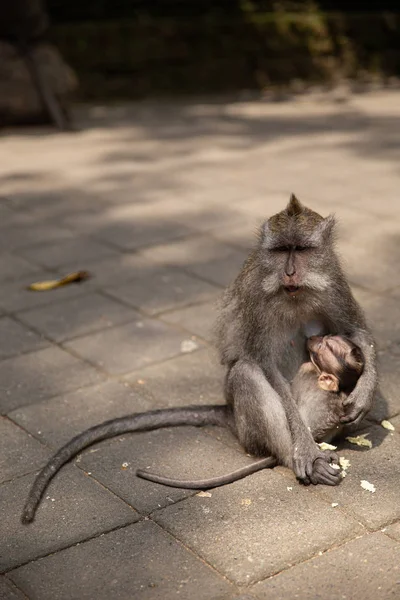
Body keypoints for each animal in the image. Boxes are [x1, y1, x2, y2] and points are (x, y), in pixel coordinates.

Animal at [21, 195, 376, 524]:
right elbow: (262, 363)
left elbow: (355, 331)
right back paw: (294, 456)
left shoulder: (334, 283)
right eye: (280, 251)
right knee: (245, 373)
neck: (295, 293)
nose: (289, 272)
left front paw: (365, 393)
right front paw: (303, 447)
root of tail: (230, 414)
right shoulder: (255, 300)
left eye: (301, 249)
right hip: (248, 428)